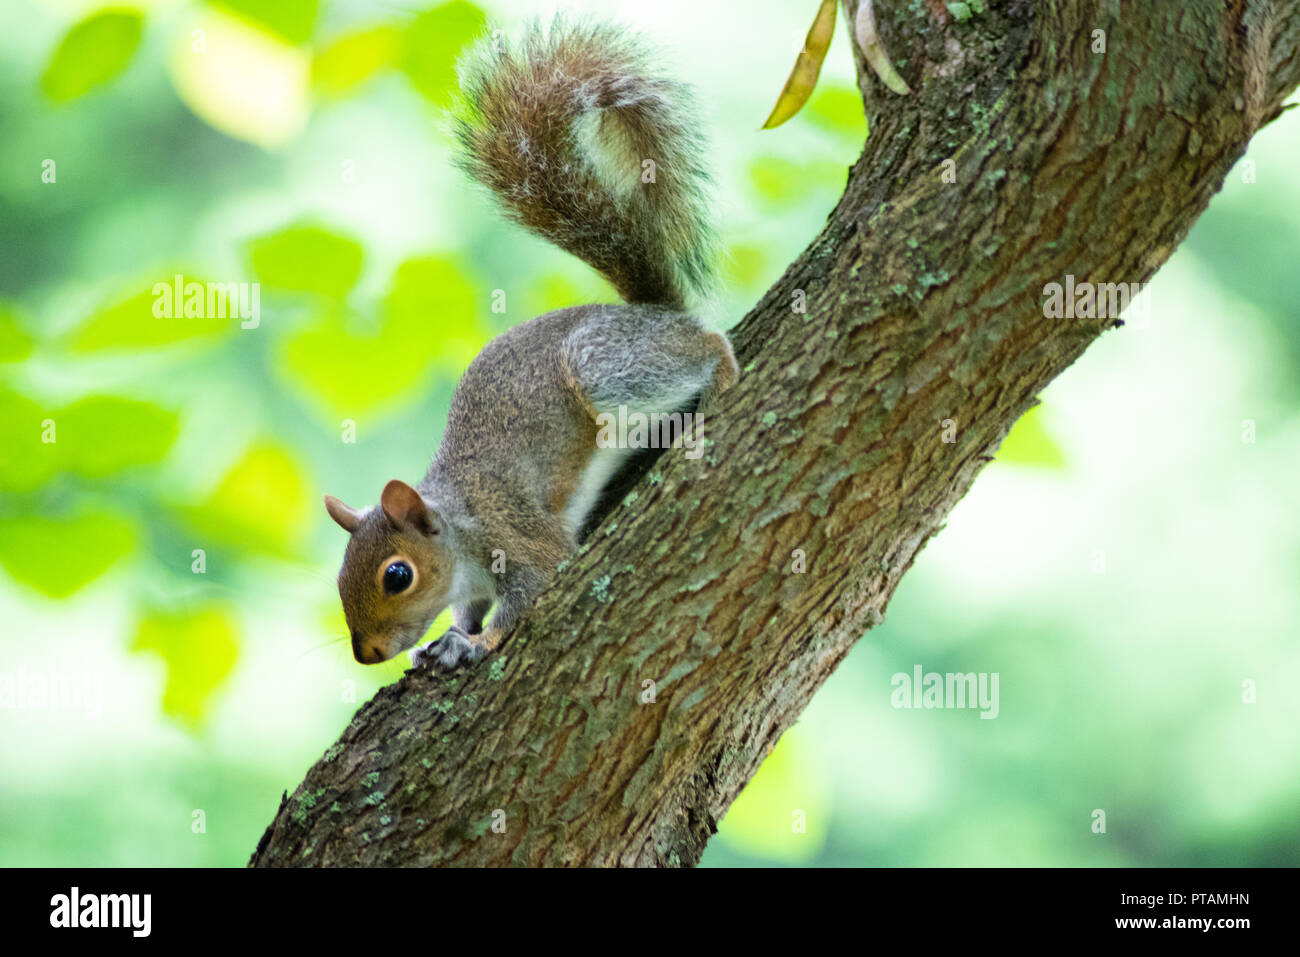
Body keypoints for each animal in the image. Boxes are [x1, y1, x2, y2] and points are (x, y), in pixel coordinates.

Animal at [321, 16, 738, 670]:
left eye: (397, 575)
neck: (460, 531)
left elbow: (532, 590)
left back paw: (721, 374)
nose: (366, 654)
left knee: (708, 344)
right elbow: (468, 608)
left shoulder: (515, 535)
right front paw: (451, 635)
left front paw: (476, 643)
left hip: (604, 366)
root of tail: (654, 312)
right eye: (340, 576)